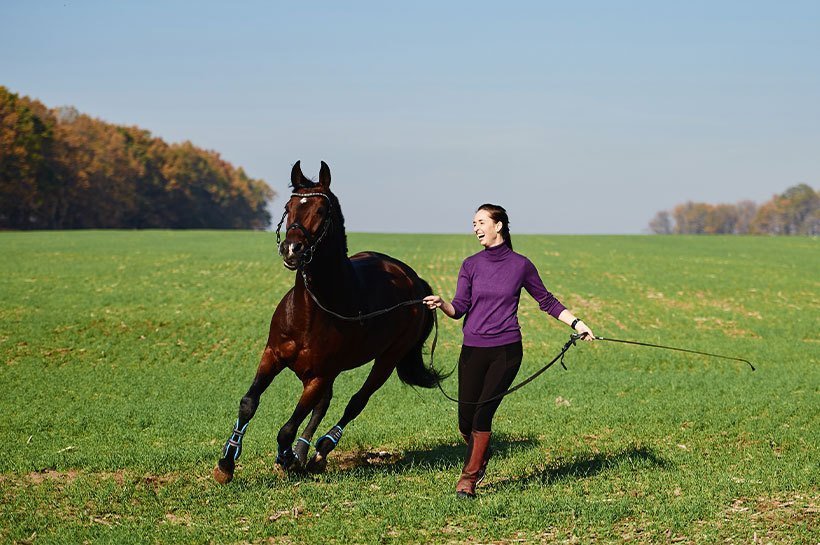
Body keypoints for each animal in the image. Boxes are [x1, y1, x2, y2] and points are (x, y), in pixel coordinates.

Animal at [211, 159, 442, 482]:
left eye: (321, 211)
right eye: (289, 206)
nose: (291, 249)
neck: (310, 310)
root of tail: (414, 280)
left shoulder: (318, 376)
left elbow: (286, 428)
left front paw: (287, 458)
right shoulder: (273, 356)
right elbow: (248, 403)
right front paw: (226, 463)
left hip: (387, 359)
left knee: (356, 402)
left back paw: (320, 451)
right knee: (324, 405)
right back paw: (305, 452)